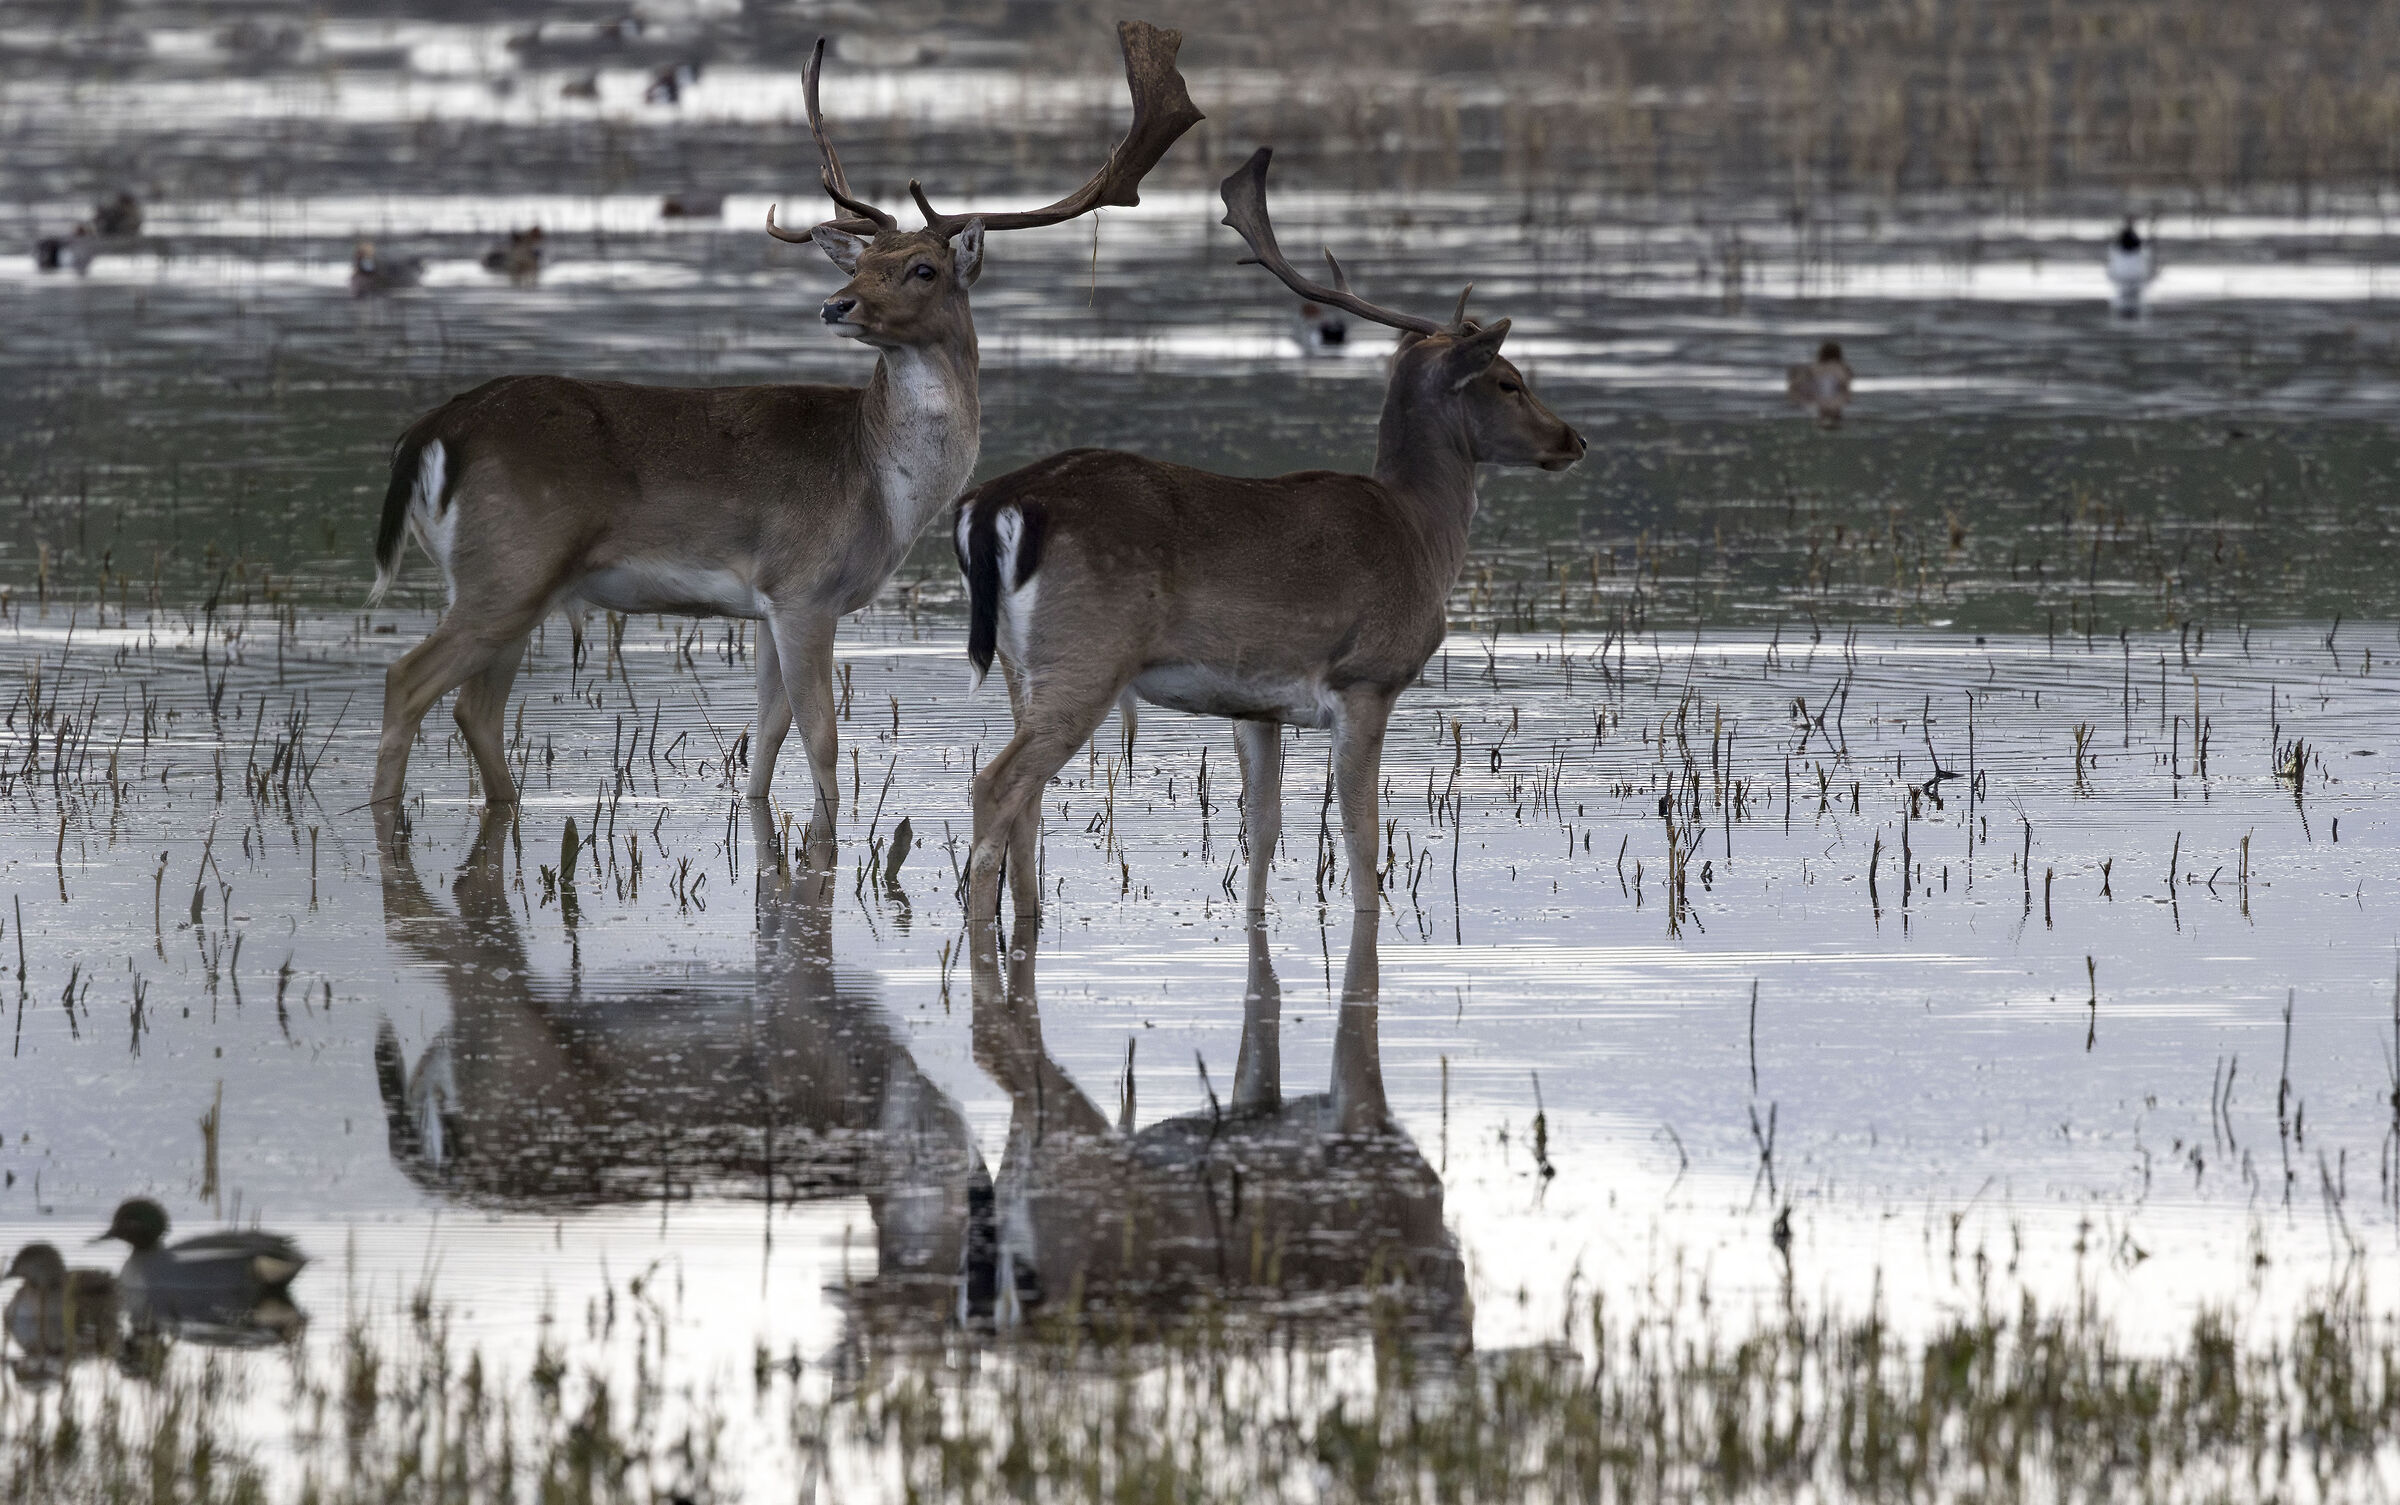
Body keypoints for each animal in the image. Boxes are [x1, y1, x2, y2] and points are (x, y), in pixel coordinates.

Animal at [364, 22, 1201, 844]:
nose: (837, 304)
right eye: (862, 260)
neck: (882, 486)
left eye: (923, 267)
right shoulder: (806, 585)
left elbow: (767, 735)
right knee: (408, 679)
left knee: (474, 706)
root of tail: (436, 430)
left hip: (515, 580)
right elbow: (822, 738)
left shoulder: (766, 603)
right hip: (511, 563)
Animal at [954, 146, 1585, 925]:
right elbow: (1361, 838)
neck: (1421, 531)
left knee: (1026, 800)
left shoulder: (1255, 703)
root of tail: (992, 504)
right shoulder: (1366, 676)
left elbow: (1263, 827)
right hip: (1087, 652)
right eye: (1508, 380)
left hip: (1021, 666)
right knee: (996, 784)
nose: (1572, 439)